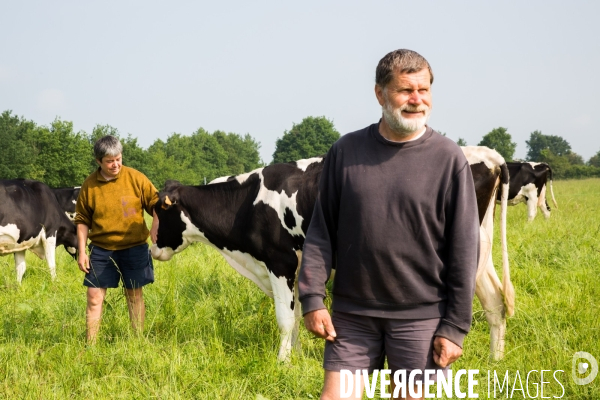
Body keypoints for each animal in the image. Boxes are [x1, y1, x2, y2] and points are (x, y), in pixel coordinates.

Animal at [152, 152, 512, 360]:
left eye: (158, 210)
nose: (153, 247)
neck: (247, 202)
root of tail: (486, 154)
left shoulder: (280, 262)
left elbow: (284, 319)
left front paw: (281, 362)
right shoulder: (297, 267)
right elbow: (297, 316)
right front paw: (296, 358)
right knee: (495, 300)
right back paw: (494, 360)